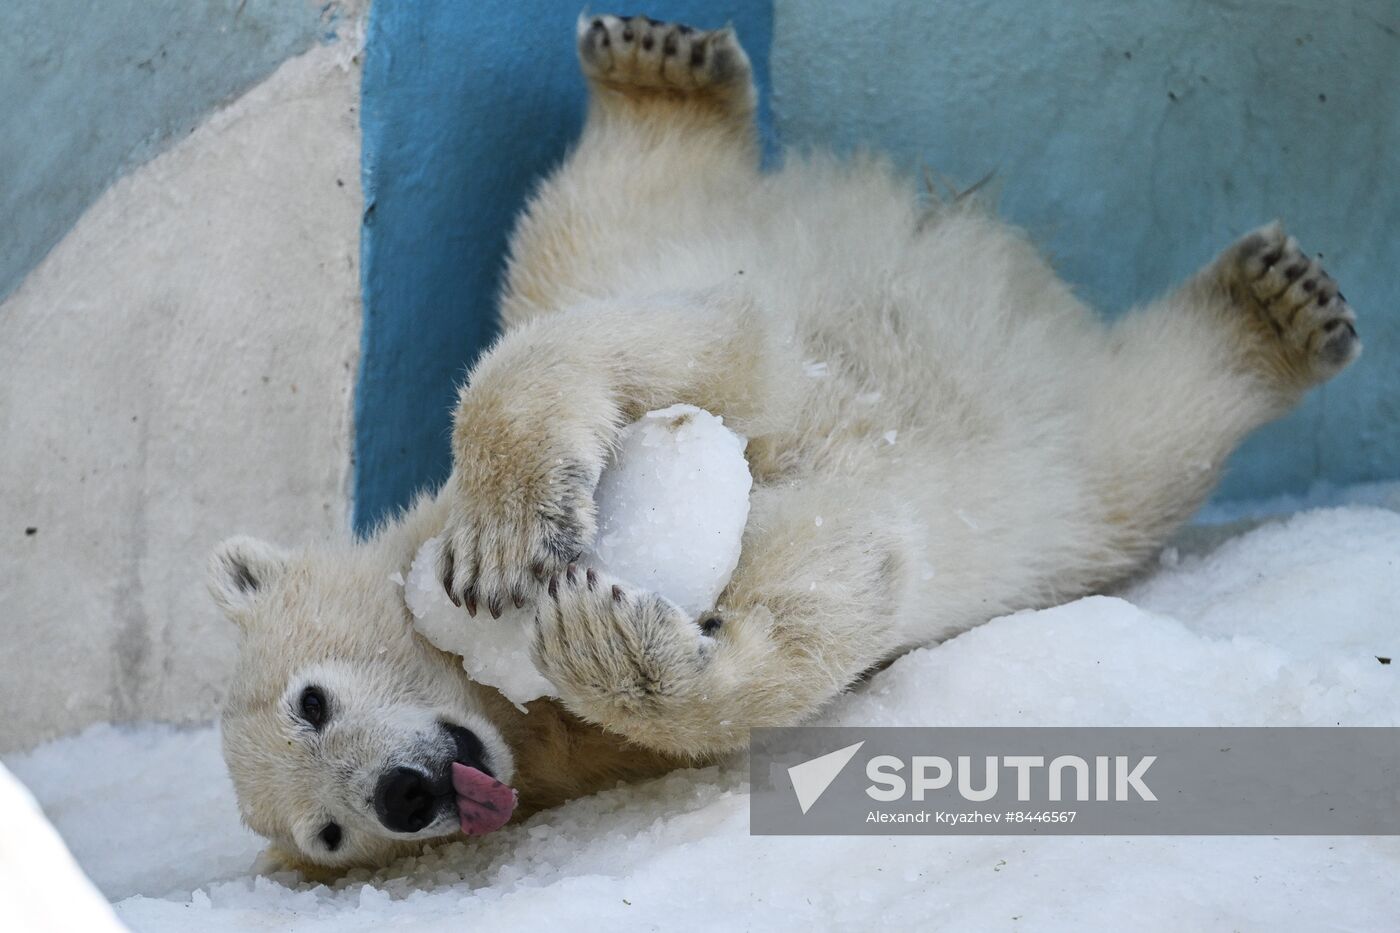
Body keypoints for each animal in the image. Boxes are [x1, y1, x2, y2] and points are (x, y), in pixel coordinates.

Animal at [208, 12, 1361, 872]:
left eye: (311, 700)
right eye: (329, 834)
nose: (403, 793)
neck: (495, 695)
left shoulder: (717, 355)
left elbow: (707, 356)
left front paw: (509, 546)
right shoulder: (602, 746)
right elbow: (838, 586)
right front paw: (614, 638)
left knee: (592, 218)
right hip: (1075, 474)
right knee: (1158, 416)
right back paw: (1270, 310)